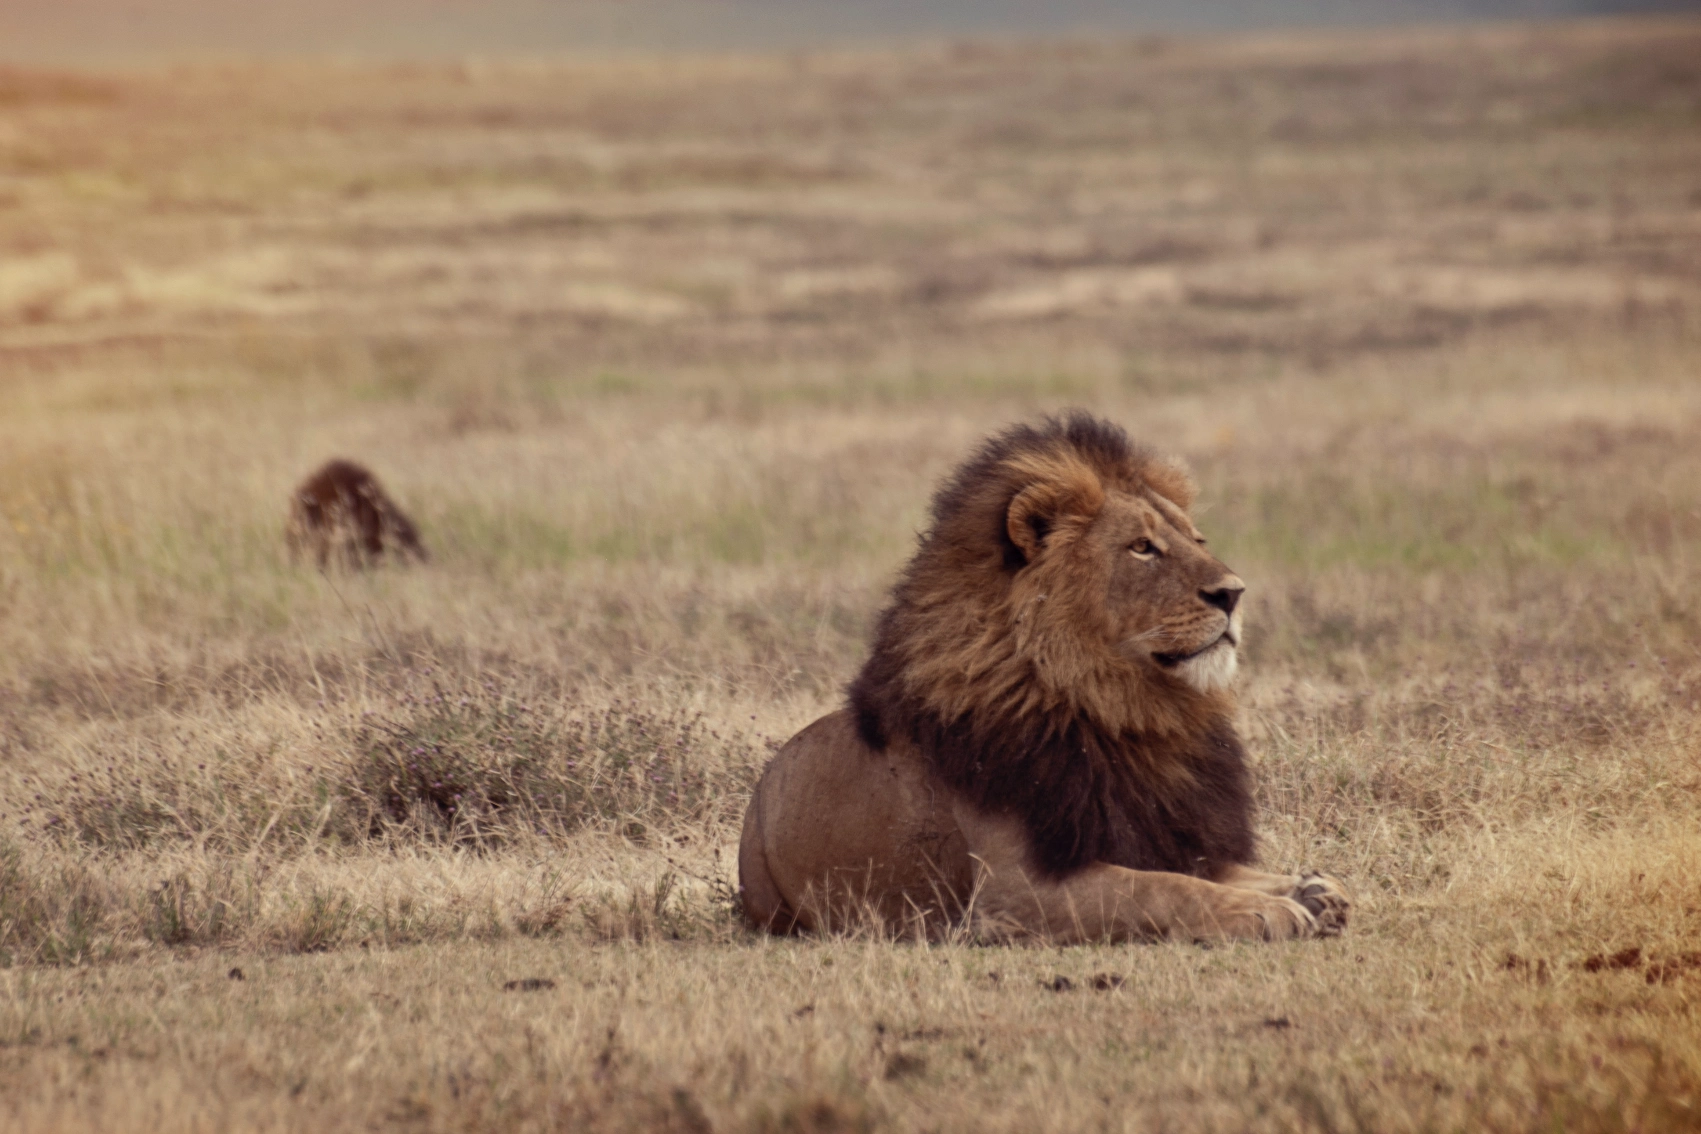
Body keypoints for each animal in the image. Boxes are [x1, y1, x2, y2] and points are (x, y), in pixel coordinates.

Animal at [738, 412, 1349, 943]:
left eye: (1196, 541)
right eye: (1142, 547)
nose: (1233, 593)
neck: (1121, 715)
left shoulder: (1158, 831)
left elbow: (1212, 870)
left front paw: (1309, 887)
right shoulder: (1014, 893)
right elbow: (1162, 890)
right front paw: (1266, 910)